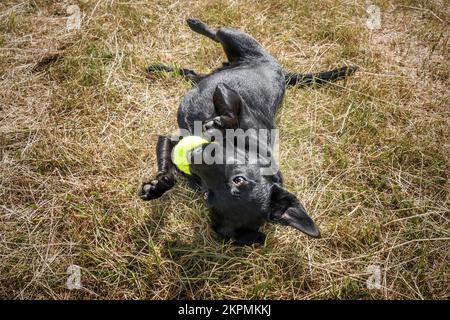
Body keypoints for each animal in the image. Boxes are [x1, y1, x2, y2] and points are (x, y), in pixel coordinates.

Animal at [137, 19, 356, 245]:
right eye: (239, 179)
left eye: (208, 195)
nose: (192, 156)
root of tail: (282, 72)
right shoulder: (225, 96)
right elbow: (229, 110)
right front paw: (157, 186)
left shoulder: (176, 138)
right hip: (233, 38)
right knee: (215, 33)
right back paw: (192, 26)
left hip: (208, 69)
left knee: (191, 71)